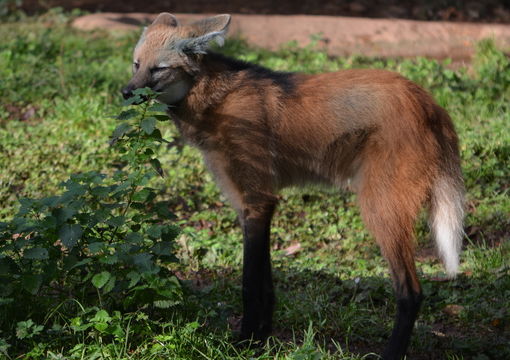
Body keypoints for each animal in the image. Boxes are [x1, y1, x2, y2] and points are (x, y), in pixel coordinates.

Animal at [121, 13, 464, 360]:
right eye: (136, 64)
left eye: (159, 69)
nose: (125, 92)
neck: (213, 100)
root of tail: (430, 103)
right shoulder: (250, 204)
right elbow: (266, 282)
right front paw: (261, 339)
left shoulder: (257, 199)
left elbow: (249, 282)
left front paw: (244, 342)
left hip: (380, 209)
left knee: (411, 292)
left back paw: (391, 352)